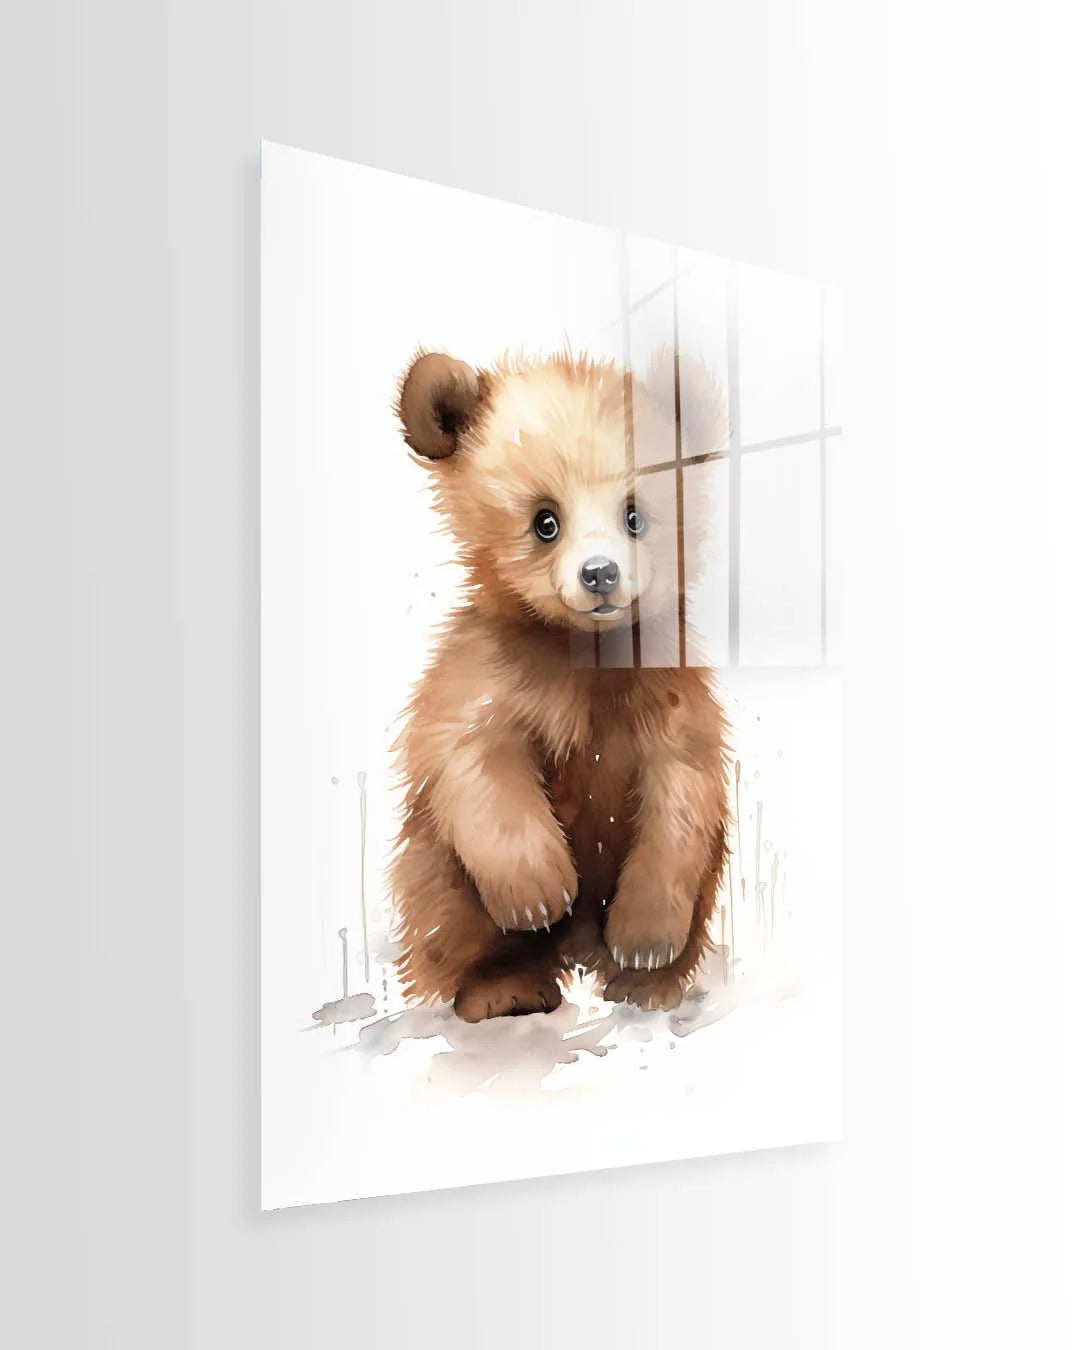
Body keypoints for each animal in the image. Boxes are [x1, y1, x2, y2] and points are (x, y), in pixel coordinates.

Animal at [388, 346, 732, 1021]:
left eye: (635, 514)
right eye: (544, 520)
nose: (600, 574)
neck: (584, 654)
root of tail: (578, 954)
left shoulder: (665, 691)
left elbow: (682, 794)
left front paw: (645, 940)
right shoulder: (492, 673)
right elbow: (473, 762)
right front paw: (539, 890)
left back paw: (645, 984)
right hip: (432, 868)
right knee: (446, 910)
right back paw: (505, 987)